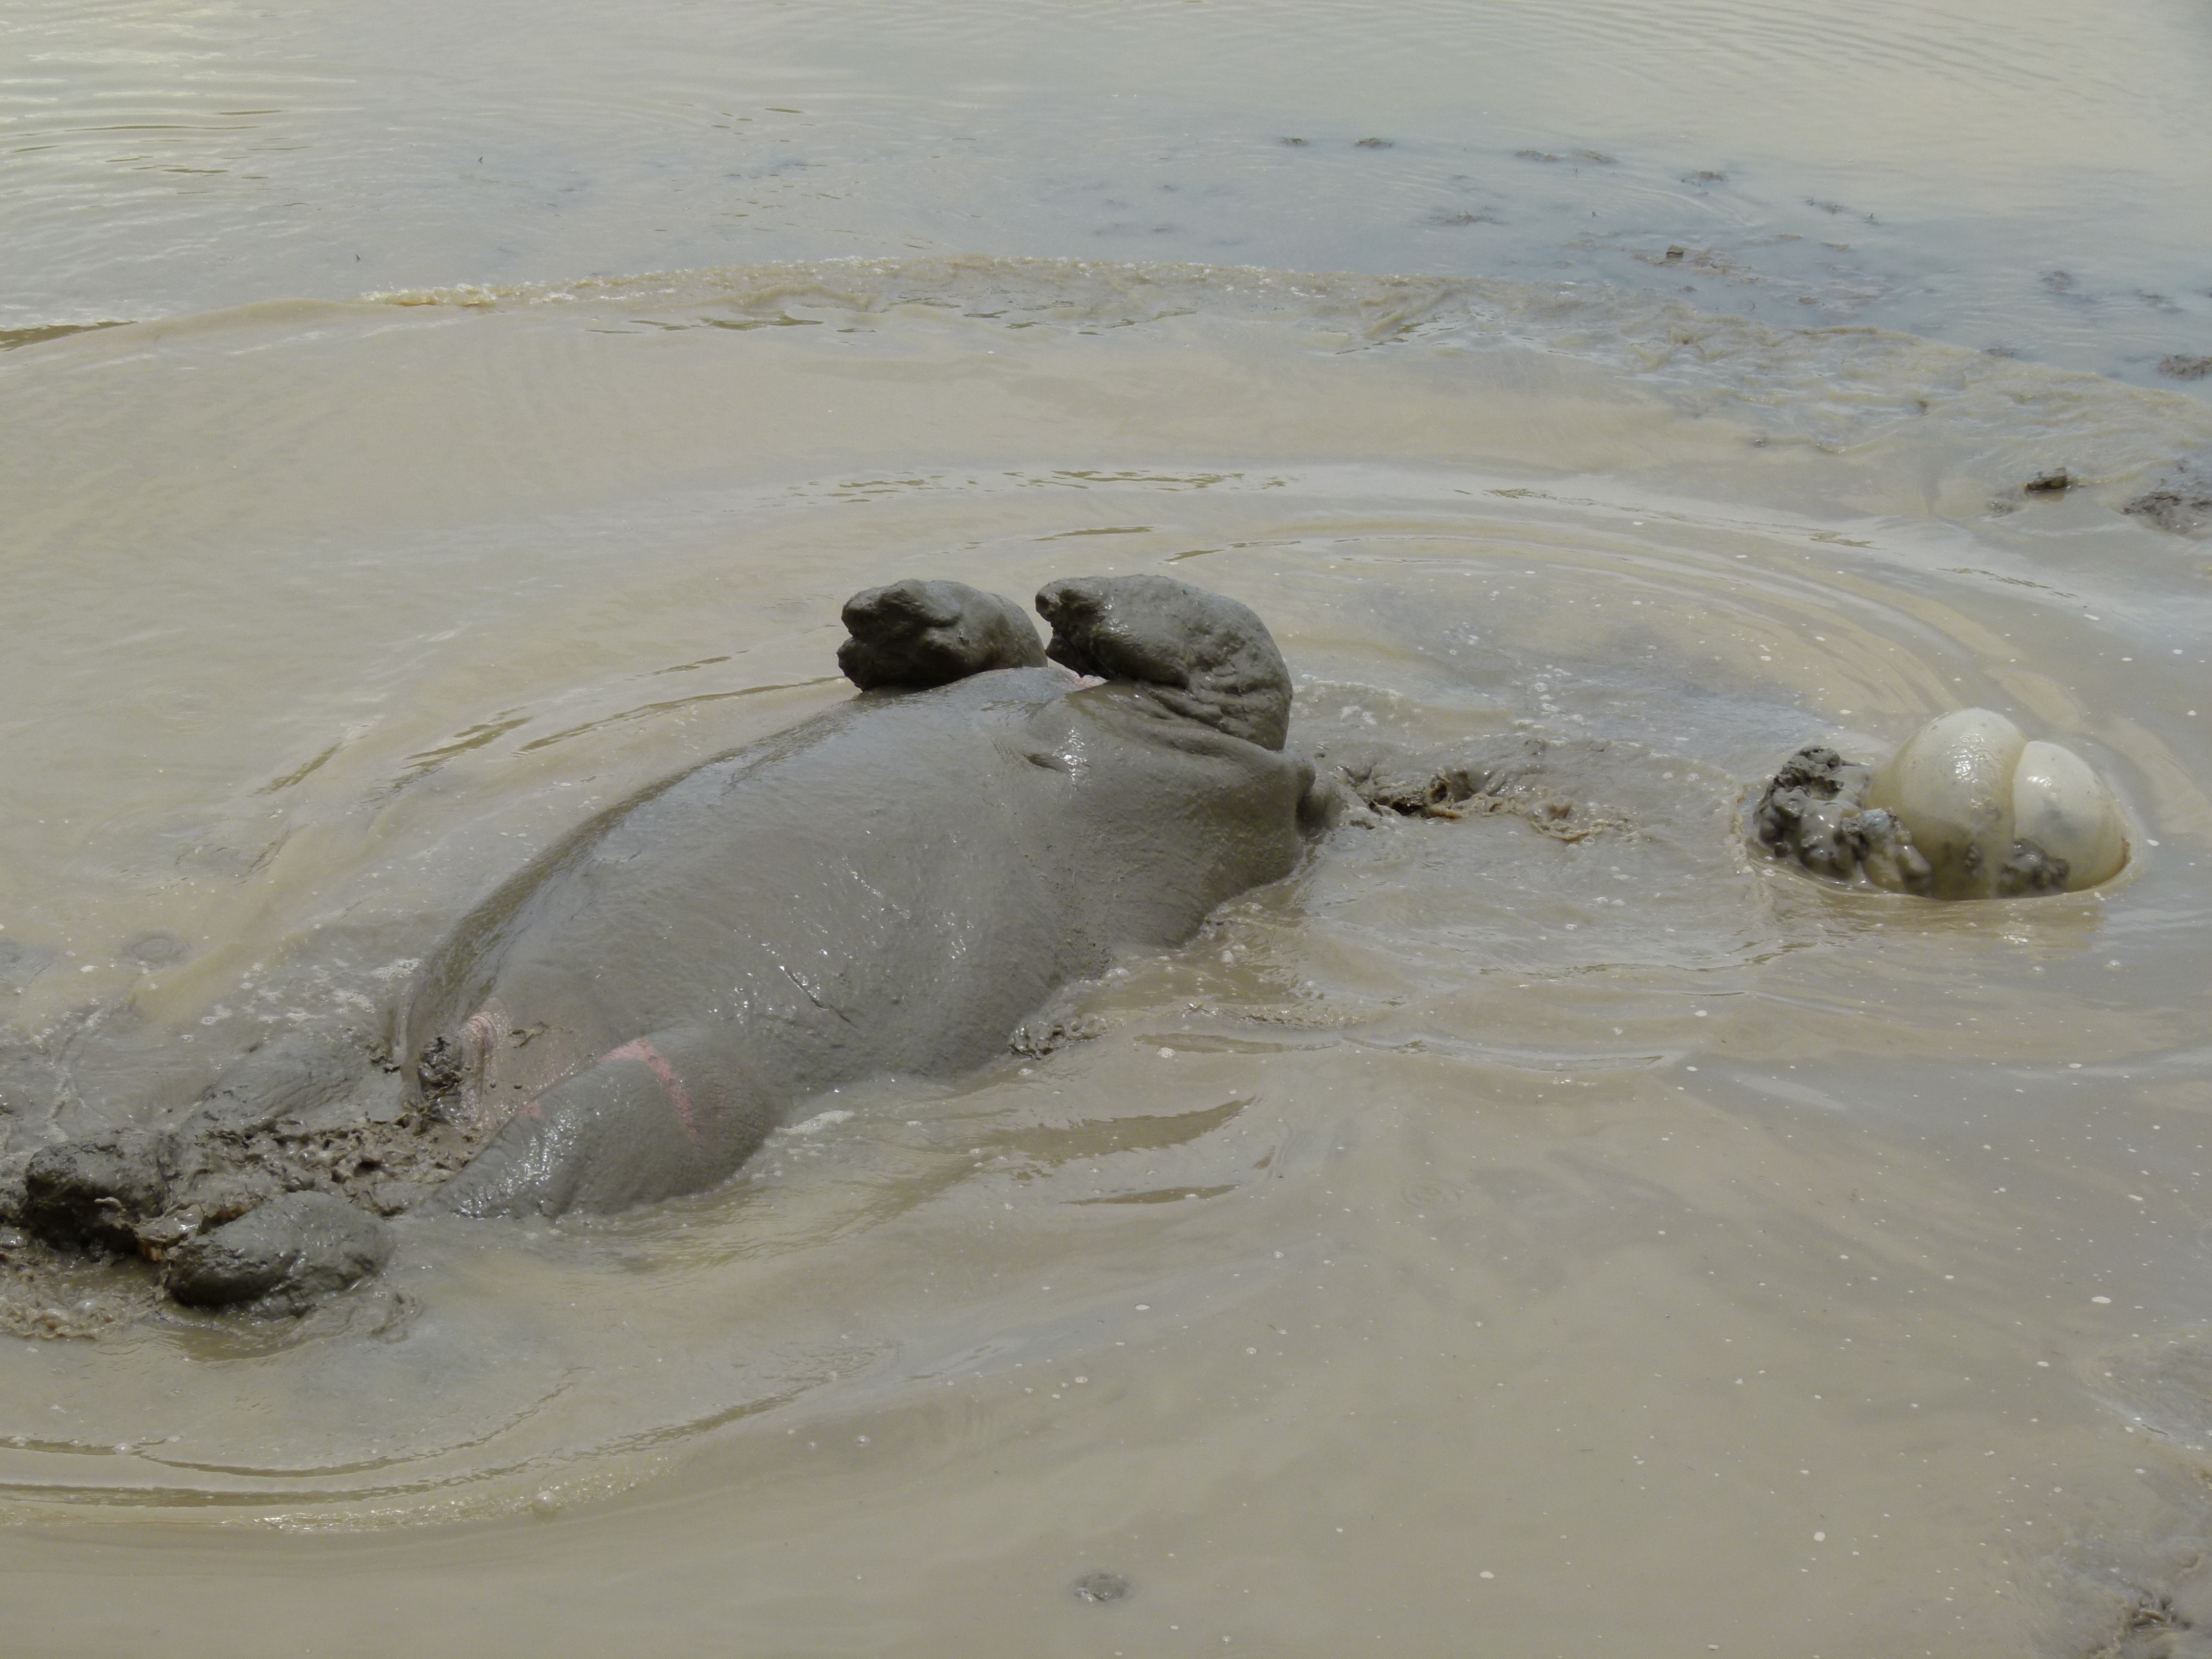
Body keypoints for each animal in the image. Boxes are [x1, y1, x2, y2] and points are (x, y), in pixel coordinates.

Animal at [13, 570, 1327, 1309]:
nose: (1076, 596)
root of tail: (448, 1095)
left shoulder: (1216, 768)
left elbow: (1237, 658)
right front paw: (905, 617)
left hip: (672, 1086)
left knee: (484, 1193)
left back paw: (223, 1237)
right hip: (370, 1047)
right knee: (293, 1098)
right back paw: (113, 1179)